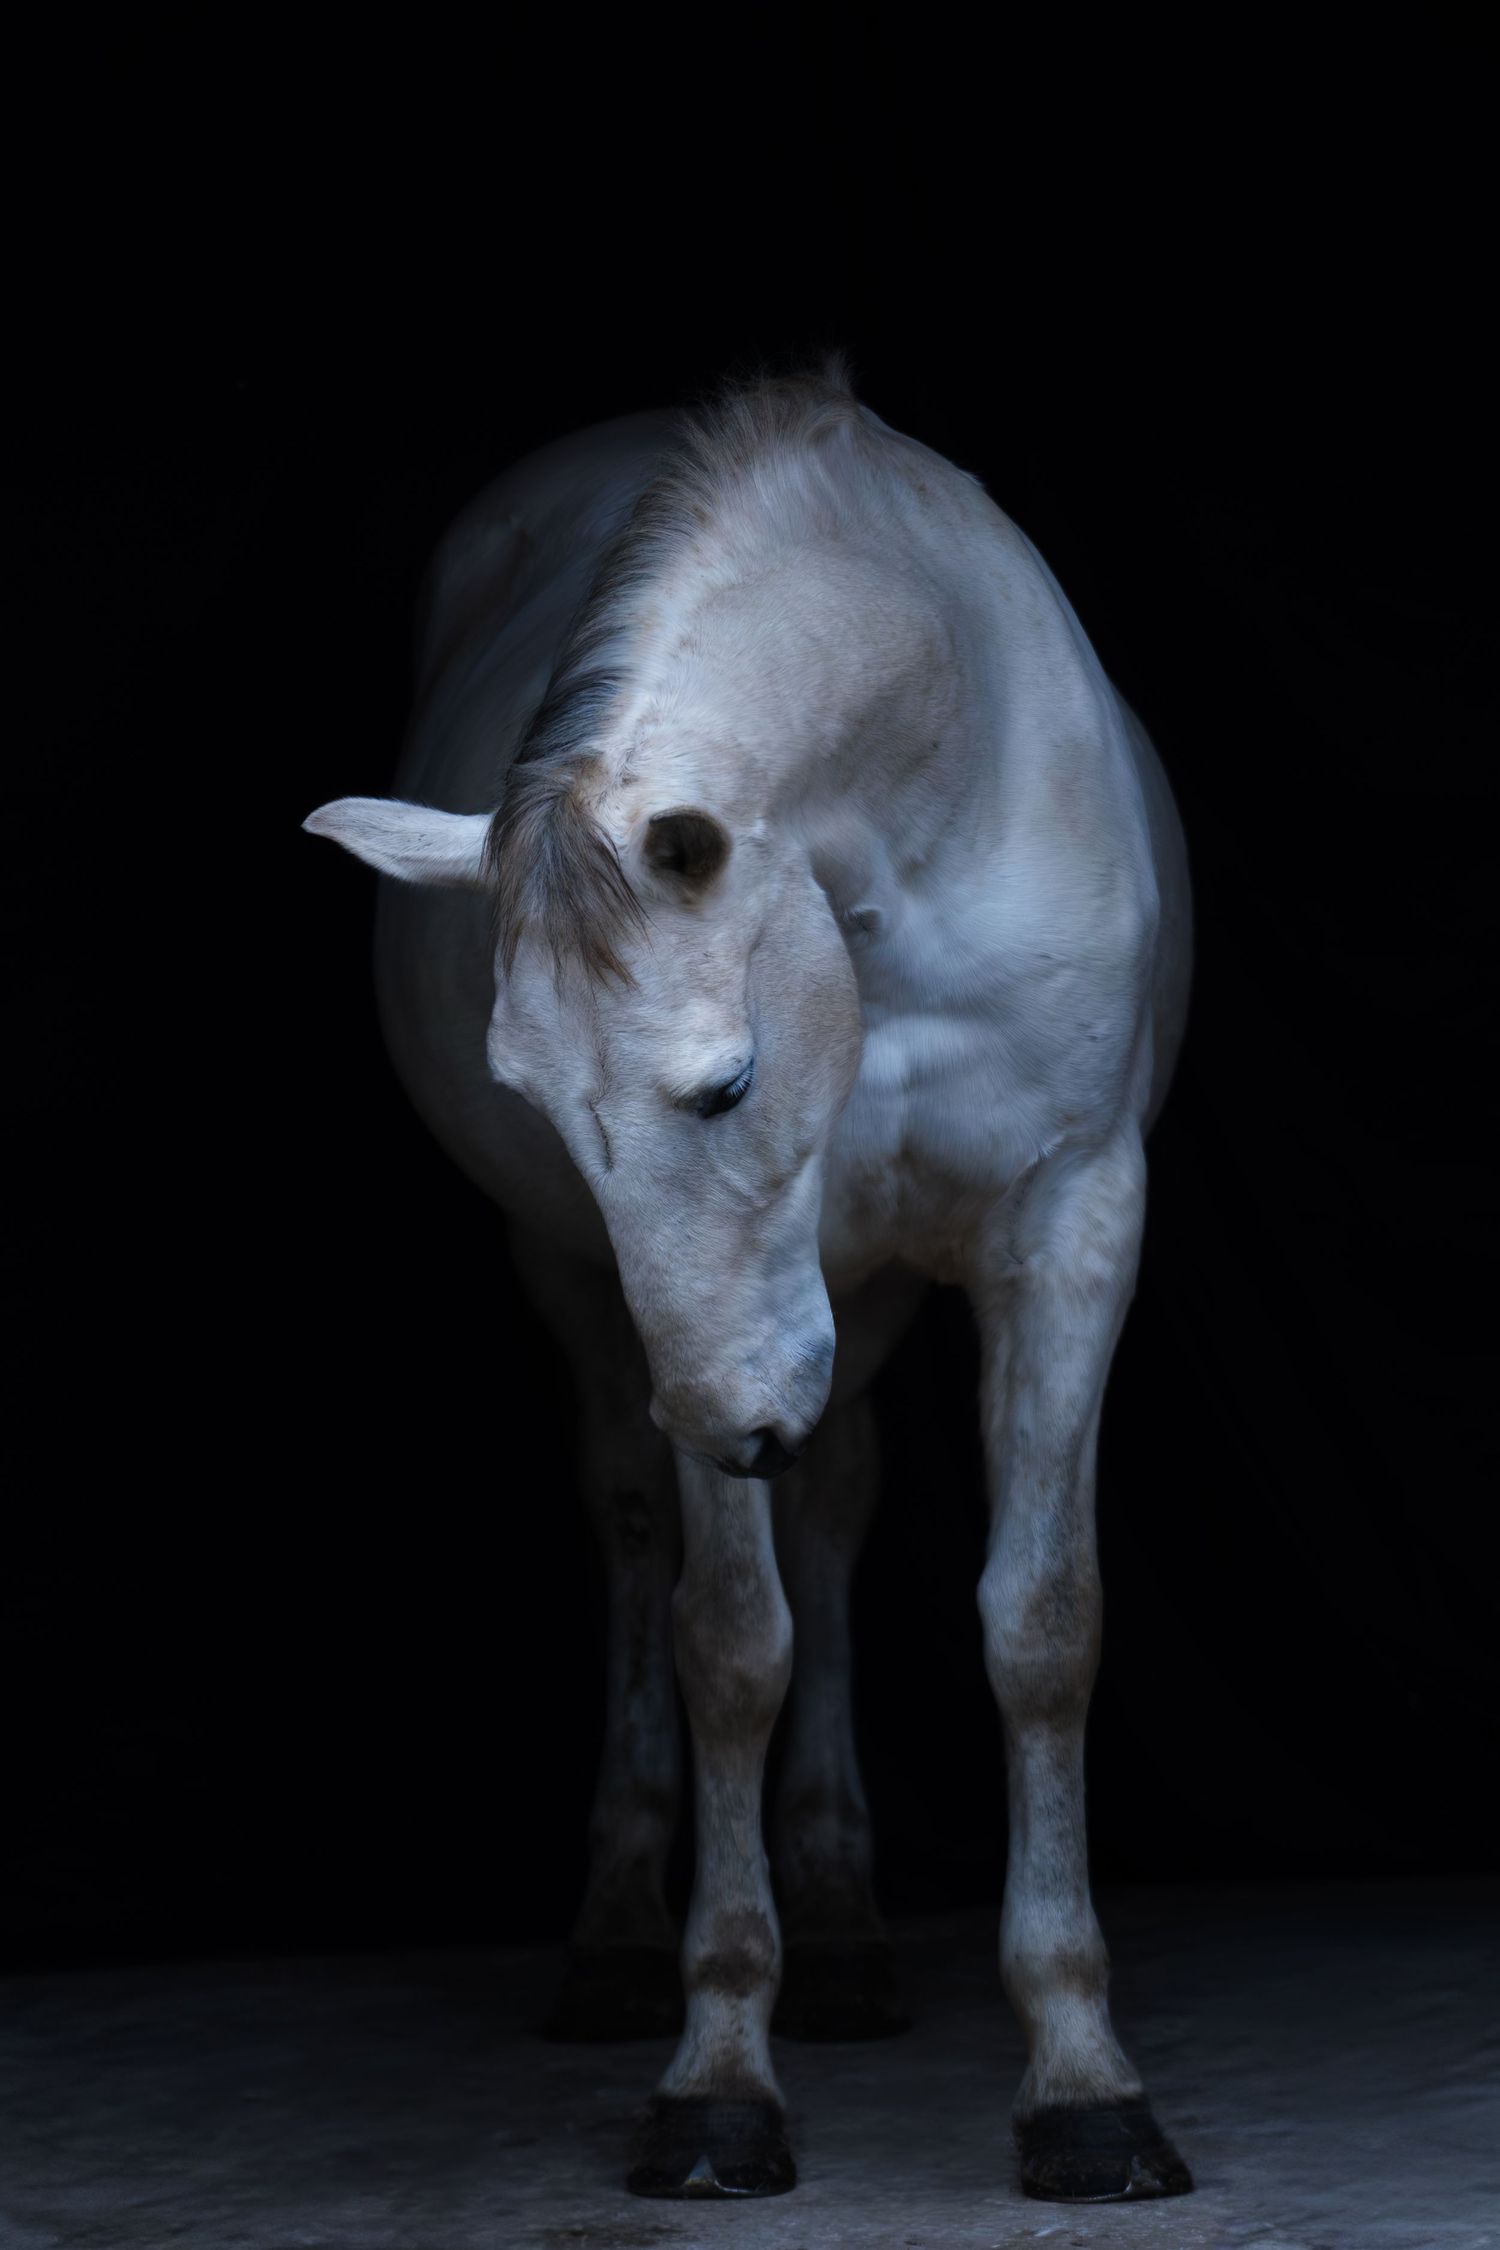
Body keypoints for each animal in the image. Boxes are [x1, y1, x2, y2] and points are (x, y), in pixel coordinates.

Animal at [304, 357, 1195, 2205]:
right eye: (538, 1108)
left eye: (722, 1087)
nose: (732, 1424)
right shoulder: (691, 1333)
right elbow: (727, 1639)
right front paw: (716, 2072)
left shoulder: (1070, 1224)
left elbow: (1044, 1628)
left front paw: (1085, 2082)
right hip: (630, 1322)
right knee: (647, 1540)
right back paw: (621, 1937)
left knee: (837, 1508)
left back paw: (848, 1927)